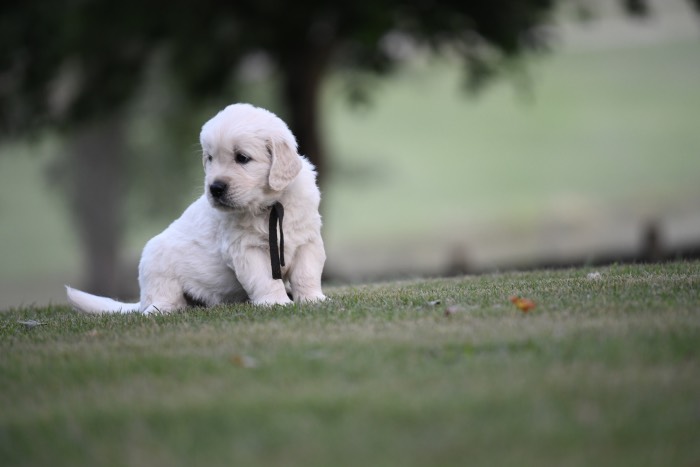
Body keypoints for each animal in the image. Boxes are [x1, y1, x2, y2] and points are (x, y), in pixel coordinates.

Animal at [65, 103, 326, 314]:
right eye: (210, 158)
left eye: (242, 158)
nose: (215, 188)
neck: (270, 205)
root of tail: (141, 300)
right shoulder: (246, 249)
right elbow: (265, 279)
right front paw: (276, 302)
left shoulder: (307, 241)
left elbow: (306, 274)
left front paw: (313, 299)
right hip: (156, 266)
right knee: (158, 303)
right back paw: (166, 309)